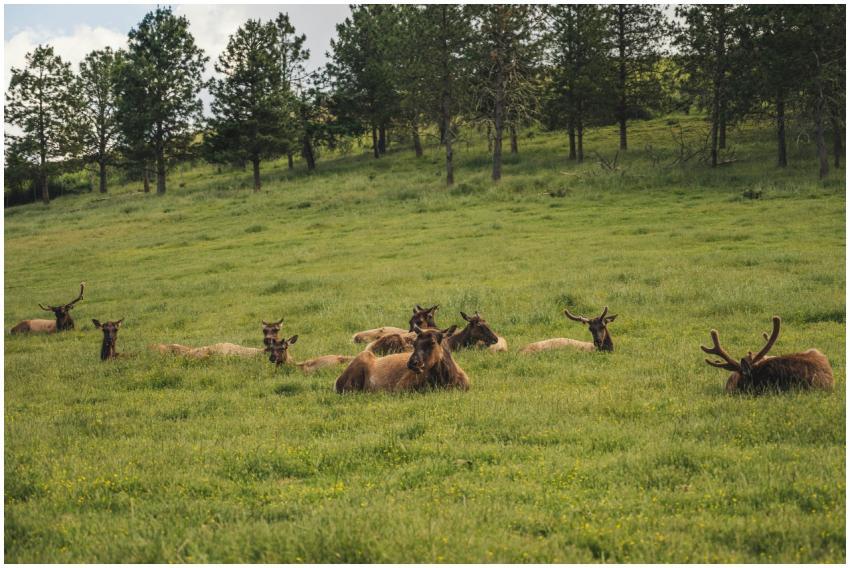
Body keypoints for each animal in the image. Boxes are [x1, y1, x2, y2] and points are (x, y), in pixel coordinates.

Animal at [336, 325, 469, 393]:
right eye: (414, 343)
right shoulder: (400, 388)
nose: (412, 363)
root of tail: (337, 381)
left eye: (432, 342)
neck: (446, 380)